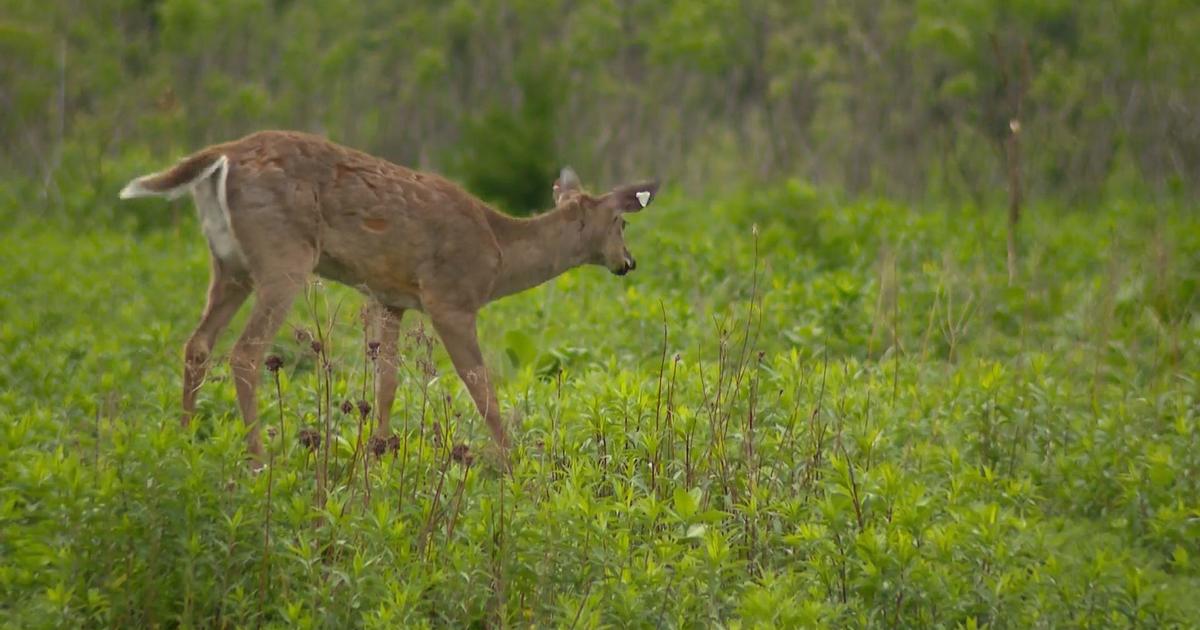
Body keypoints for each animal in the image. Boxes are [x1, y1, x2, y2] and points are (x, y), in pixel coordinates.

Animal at [118, 130, 662, 465]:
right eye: (622, 222)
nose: (629, 262)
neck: (499, 255)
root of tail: (224, 155)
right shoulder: (450, 297)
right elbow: (481, 388)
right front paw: (515, 464)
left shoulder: (391, 297)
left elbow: (387, 383)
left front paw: (377, 454)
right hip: (282, 257)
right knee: (245, 353)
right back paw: (257, 458)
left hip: (229, 265)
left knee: (197, 344)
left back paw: (184, 441)